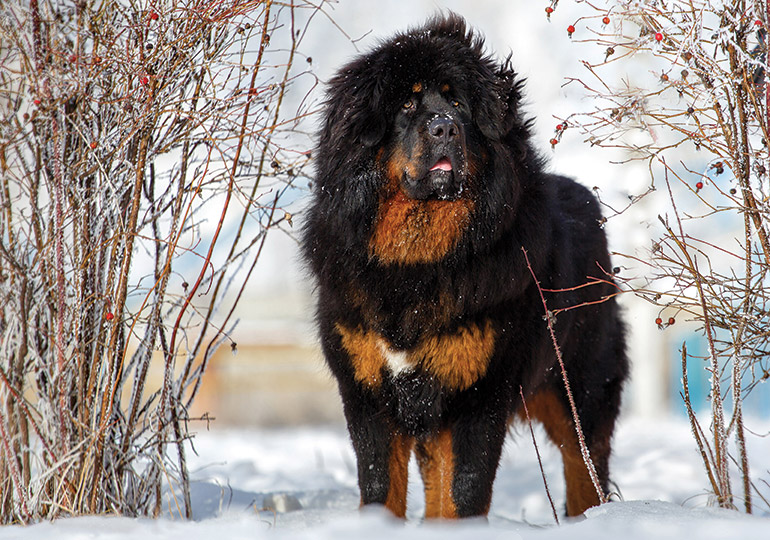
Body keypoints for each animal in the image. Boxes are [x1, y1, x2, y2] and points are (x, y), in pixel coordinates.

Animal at [298, 13, 624, 520]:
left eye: (457, 104)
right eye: (407, 104)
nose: (445, 129)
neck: (416, 262)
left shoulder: (478, 393)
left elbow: (464, 490)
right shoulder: (368, 391)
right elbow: (381, 487)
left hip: (581, 392)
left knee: (585, 473)